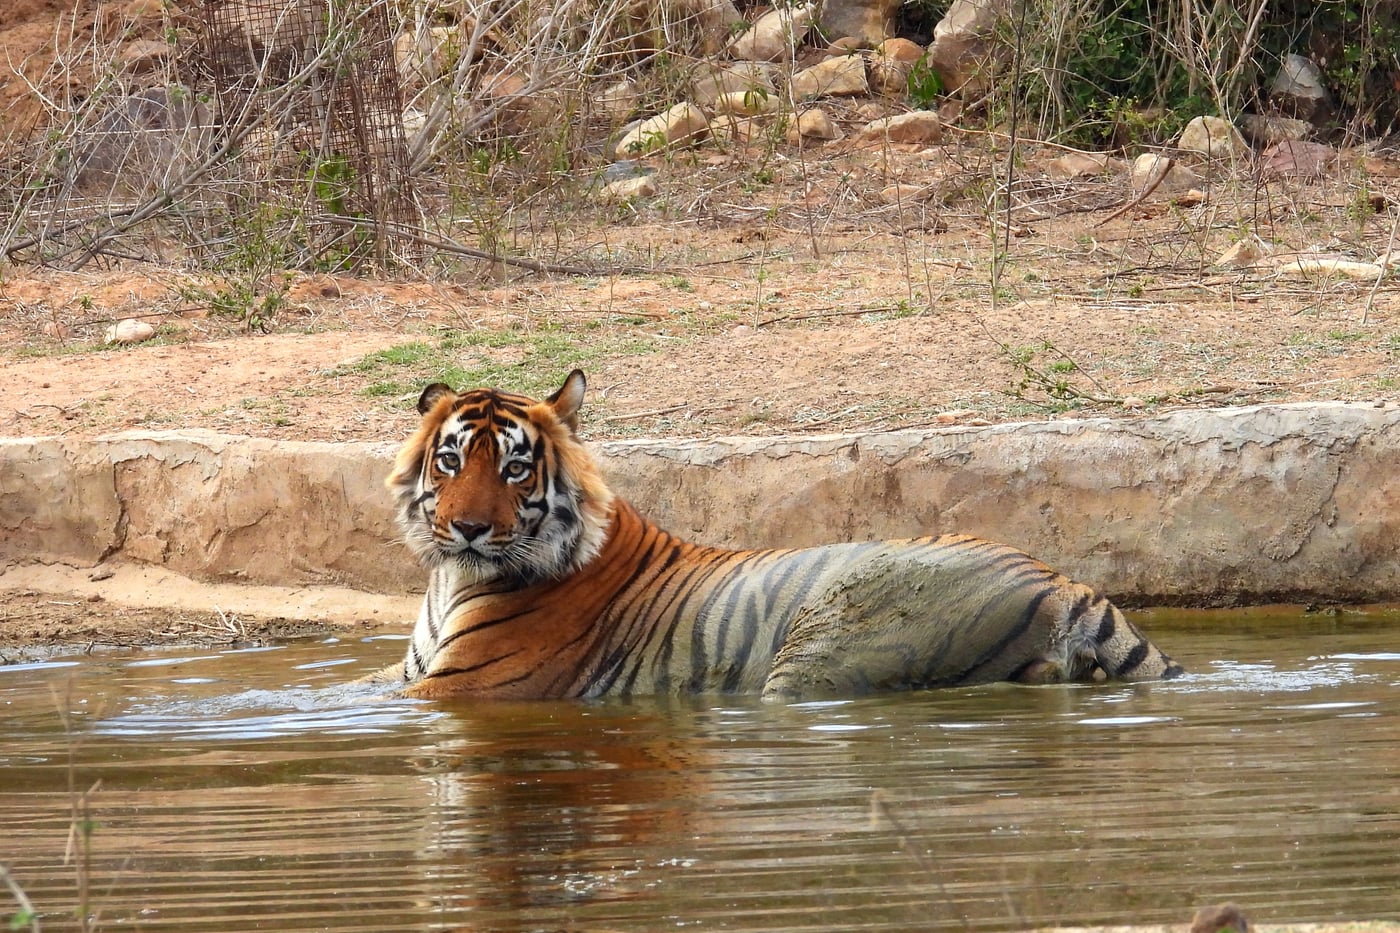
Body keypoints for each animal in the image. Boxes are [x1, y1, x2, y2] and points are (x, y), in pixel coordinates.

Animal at [370, 369, 1184, 700]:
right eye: (450, 460)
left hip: (822, 650)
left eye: (515, 468)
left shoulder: (467, 685)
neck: (451, 579)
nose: (467, 528)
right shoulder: (407, 673)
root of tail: (1063, 579)